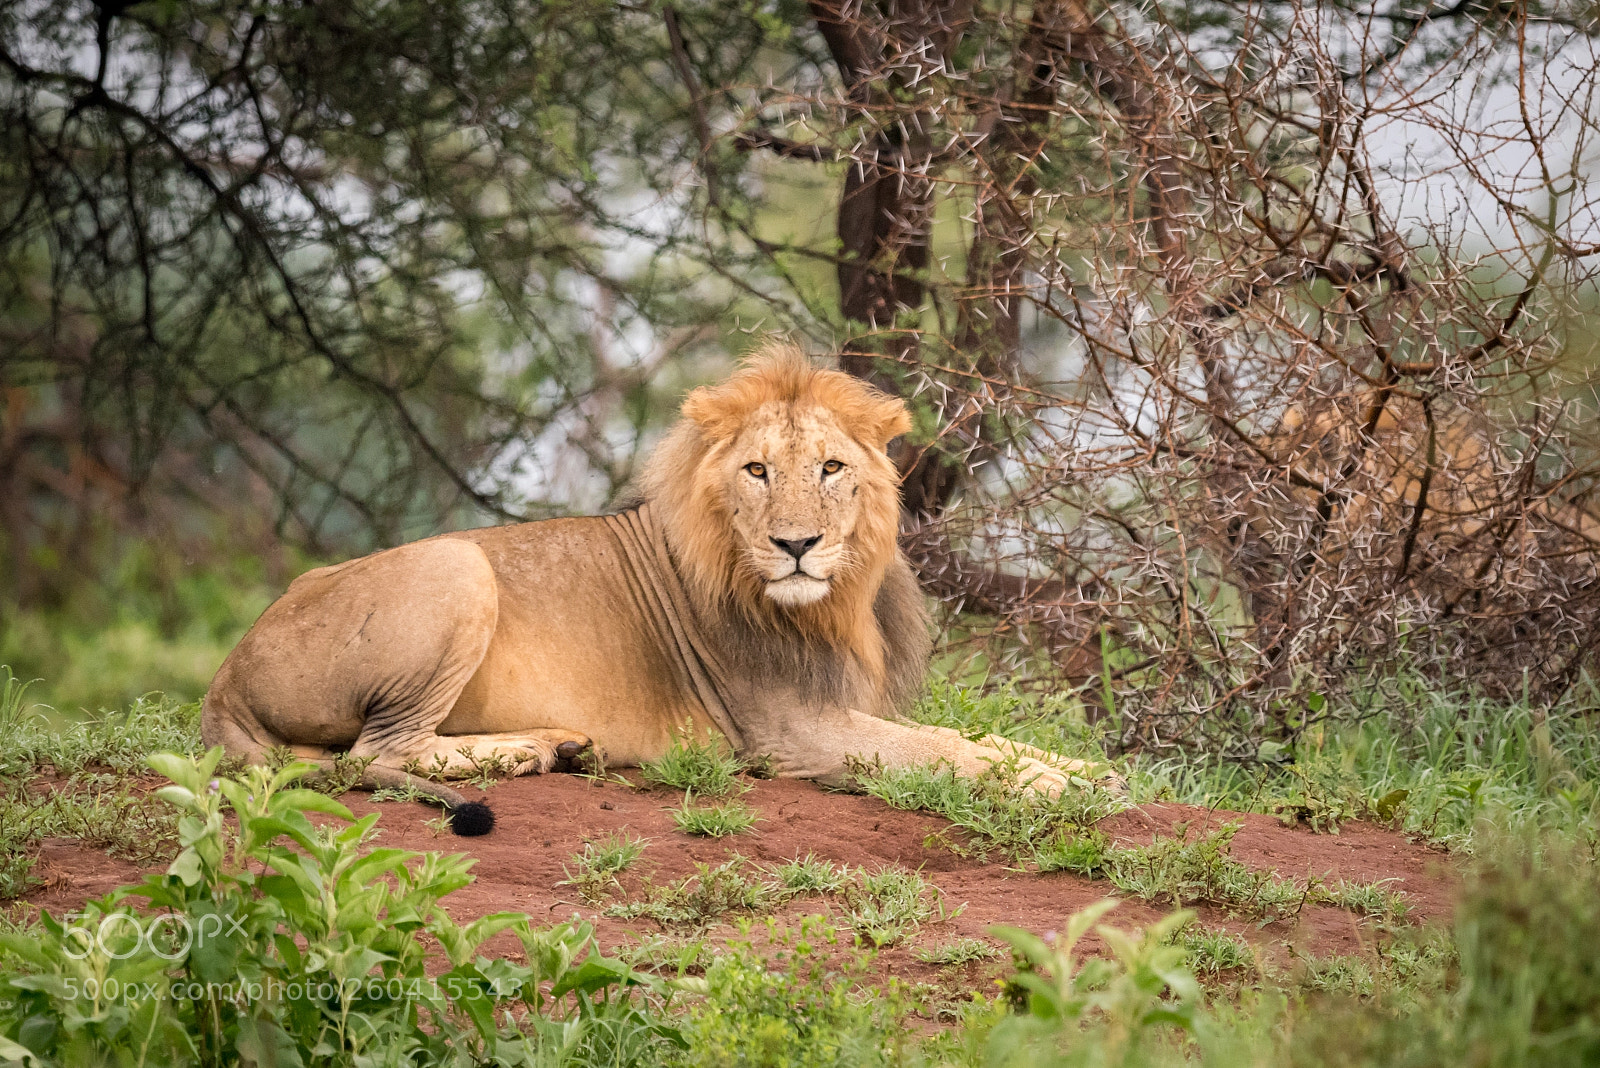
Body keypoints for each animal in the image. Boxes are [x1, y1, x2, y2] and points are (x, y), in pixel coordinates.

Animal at [201, 342, 1113, 834]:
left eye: (830, 468)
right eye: (757, 470)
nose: (796, 545)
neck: (832, 607)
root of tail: (223, 680)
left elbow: (979, 740)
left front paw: (1085, 772)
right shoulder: (791, 730)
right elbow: (948, 753)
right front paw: (1056, 786)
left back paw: (558, 745)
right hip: (458, 565)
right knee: (376, 754)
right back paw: (527, 750)